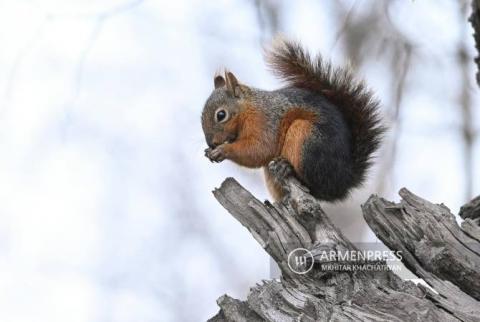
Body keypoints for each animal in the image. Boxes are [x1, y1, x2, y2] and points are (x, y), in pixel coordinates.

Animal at [201, 38, 384, 201]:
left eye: (221, 115)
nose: (211, 143)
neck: (249, 109)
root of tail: (344, 181)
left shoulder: (266, 122)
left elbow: (260, 149)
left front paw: (223, 150)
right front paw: (209, 151)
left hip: (306, 139)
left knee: (313, 185)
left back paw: (288, 168)